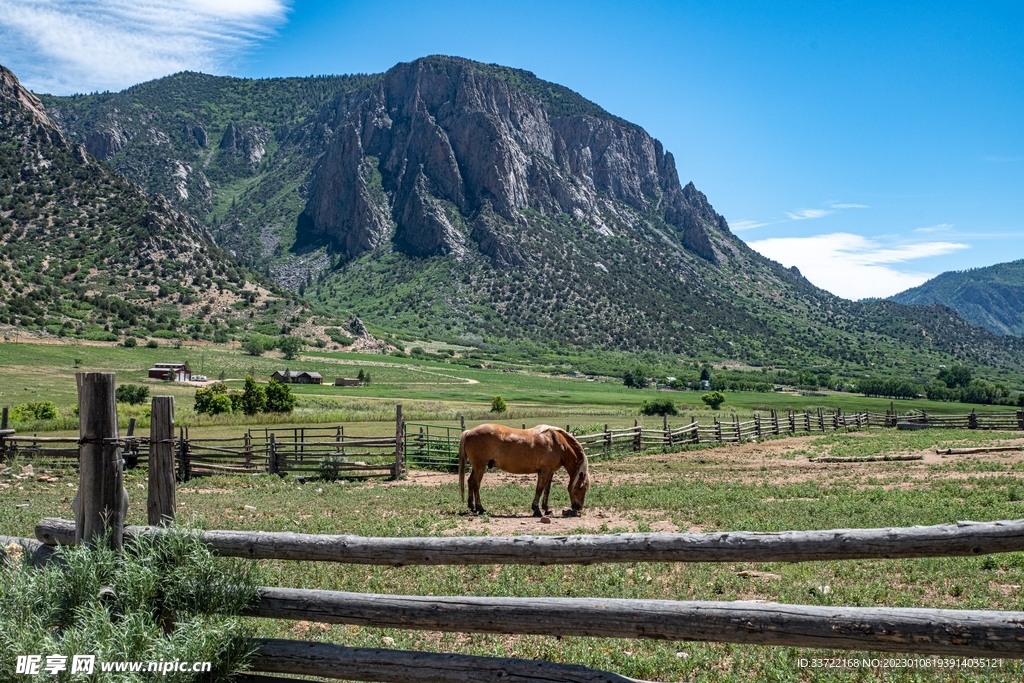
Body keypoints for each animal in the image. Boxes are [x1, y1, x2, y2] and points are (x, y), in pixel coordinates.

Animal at [458, 424, 590, 517]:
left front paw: (546, 509)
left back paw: (472, 506)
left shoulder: (550, 472)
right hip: (480, 466)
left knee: (470, 482)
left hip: (476, 467)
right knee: (476, 484)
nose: (578, 508)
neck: (556, 442)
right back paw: (480, 508)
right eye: (580, 487)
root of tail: (469, 432)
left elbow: (547, 490)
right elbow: (539, 489)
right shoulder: (544, 471)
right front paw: (536, 510)